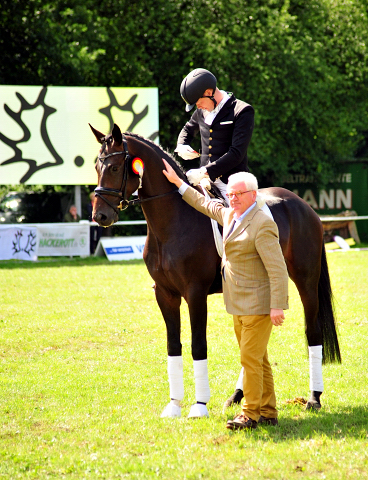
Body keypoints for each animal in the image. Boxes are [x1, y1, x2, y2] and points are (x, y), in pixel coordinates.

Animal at [90, 122, 342, 418]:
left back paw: (314, 398)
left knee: (312, 332)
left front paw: (199, 406)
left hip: (306, 281)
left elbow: (198, 345)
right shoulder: (164, 294)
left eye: (115, 167)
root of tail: (303, 205)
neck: (173, 221)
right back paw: (237, 395)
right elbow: (173, 345)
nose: (100, 216)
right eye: (97, 166)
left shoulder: (195, 293)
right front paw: (174, 404)